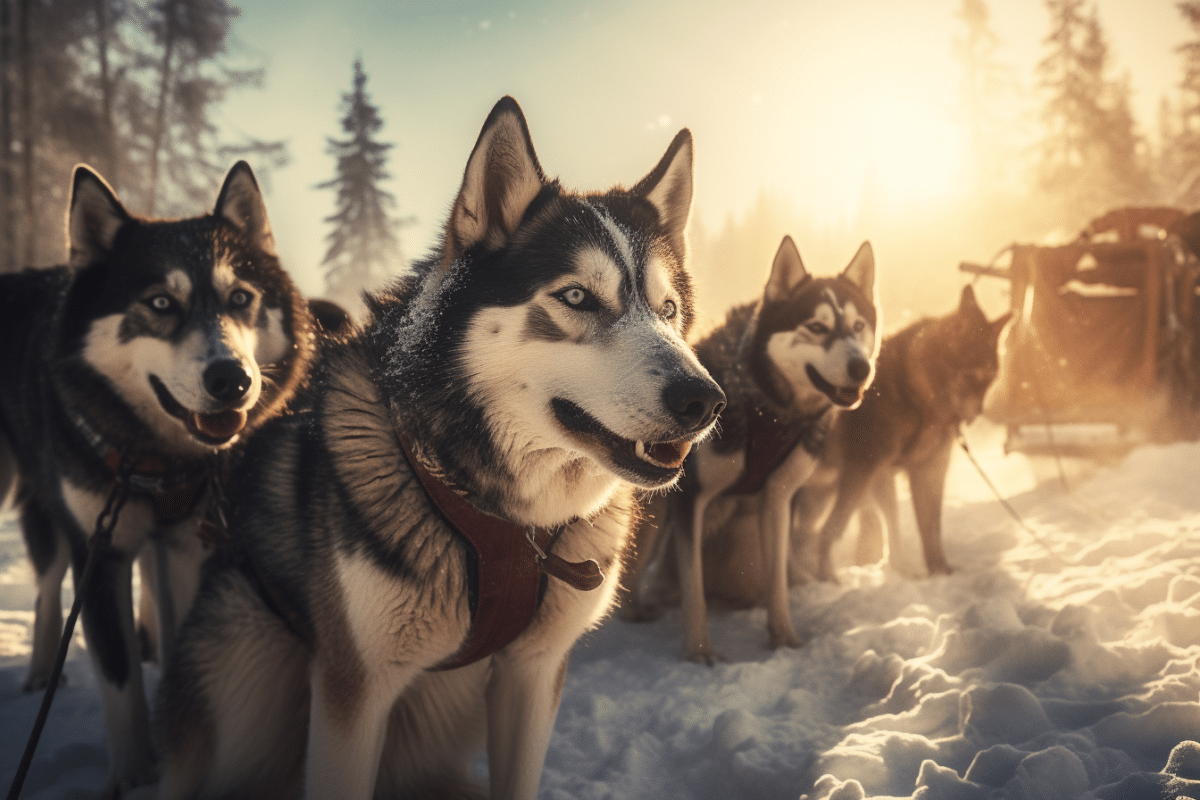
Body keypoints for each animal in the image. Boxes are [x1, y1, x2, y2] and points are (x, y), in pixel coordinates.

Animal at [0, 163, 319, 796]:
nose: (232, 380)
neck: (159, 462)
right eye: (161, 302)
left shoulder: (189, 546)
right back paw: (43, 669)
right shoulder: (99, 551)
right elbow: (118, 681)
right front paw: (132, 776)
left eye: (240, 298)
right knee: (48, 584)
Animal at [156, 98, 724, 800]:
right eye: (576, 296)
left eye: (668, 310)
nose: (705, 400)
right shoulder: (354, 691)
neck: (506, 525)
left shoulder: (532, 674)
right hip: (245, 665)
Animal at [624, 236, 878, 662]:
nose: (861, 368)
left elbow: (775, 580)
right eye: (817, 327)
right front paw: (699, 652)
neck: (768, 409)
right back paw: (637, 609)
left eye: (859, 326)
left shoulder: (777, 498)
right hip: (656, 510)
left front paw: (784, 638)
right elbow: (695, 589)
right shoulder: (692, 497)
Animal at [801, 284, 1008, 578]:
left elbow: (929, 531)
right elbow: (866, 524)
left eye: (989, 381)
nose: (976, 414)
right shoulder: (871, 471)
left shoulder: (926, 472)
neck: (915, 394)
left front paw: (938, 572)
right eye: (971, 377)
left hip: (819, 493)